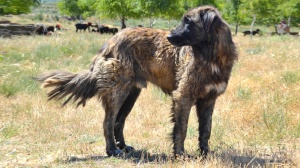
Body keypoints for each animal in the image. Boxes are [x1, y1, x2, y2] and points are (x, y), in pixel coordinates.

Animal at [35, 4, 237, 158]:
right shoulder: (182, 96)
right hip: (118, 91)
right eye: (183, 20)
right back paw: (112, 150)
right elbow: (182, 128)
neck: (211, 56)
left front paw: (205, 153)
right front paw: (180, 154)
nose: (169, 37)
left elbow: (206, 130)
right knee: (108, 122)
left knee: (119, 121)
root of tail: (110, 42)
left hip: (131, 93)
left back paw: (123, 147)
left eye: (189, 22)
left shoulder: (209, 100)